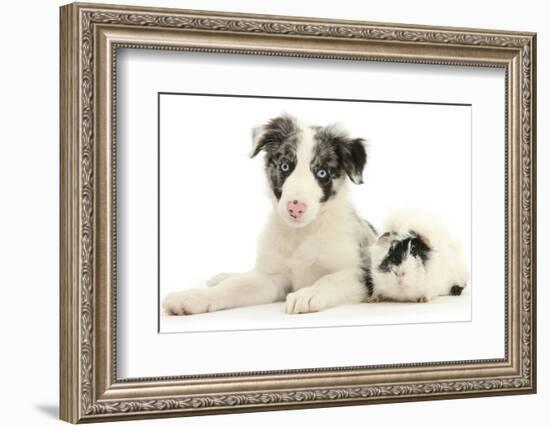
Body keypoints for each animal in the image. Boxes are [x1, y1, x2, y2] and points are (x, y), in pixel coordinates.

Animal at [164, 113, 380, 314]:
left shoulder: (359, 274)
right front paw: (194, 297)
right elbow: (234, 287)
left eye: (322, 173)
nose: (295, 208)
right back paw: (222, 277)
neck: (301, 234)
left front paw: (307, 294)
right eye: (285, 166)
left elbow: (330, 279)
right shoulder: (272, 278)